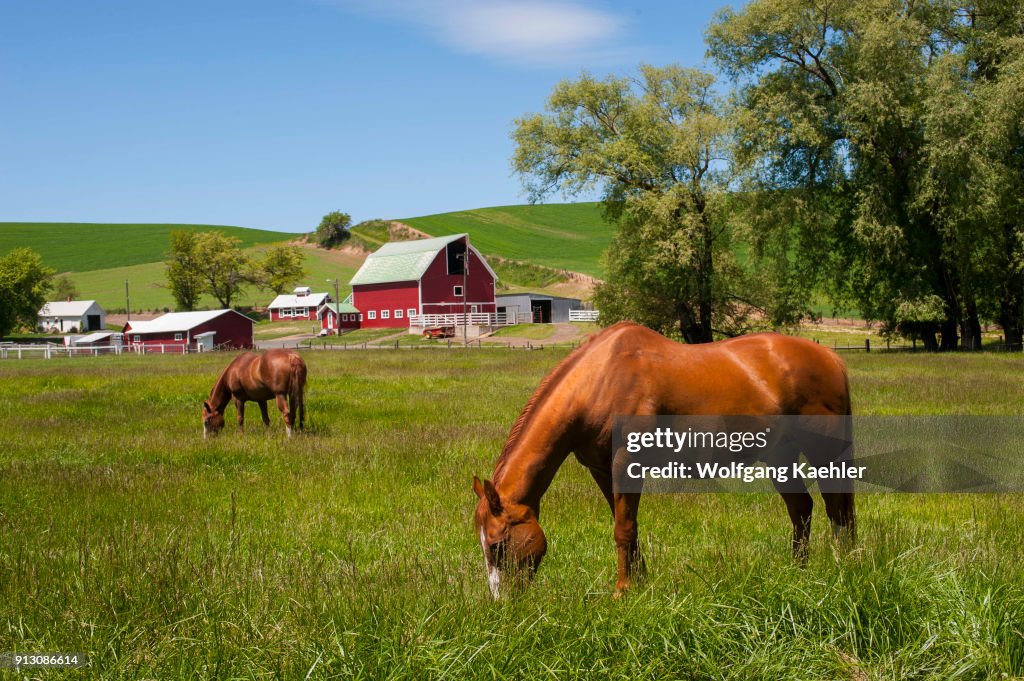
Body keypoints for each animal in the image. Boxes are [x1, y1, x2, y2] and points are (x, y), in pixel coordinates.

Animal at [473, 321, 856, 598]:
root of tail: (831, 358)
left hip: (823, 452)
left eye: (497, 544)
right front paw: (641, 583)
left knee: (836, 510)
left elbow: (623, 529)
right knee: (801, 508)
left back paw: (842, 567)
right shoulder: (602, 470)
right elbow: (629, 528)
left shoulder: (626, 463)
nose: (502, 603)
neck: (601, 380)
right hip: (779, 455)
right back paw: (798, 572)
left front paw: (622, 592)